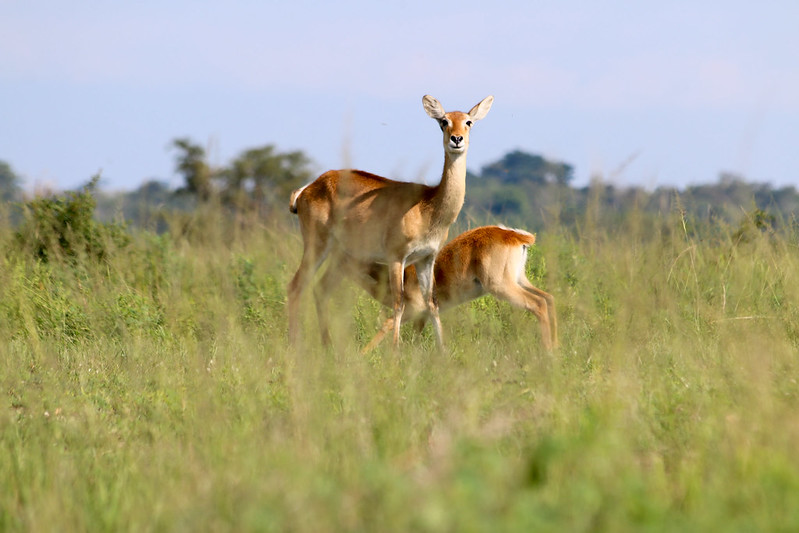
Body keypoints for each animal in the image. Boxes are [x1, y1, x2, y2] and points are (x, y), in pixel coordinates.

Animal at [284, 94, 490, 350]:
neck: (428, 206)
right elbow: (398, 303)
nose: (457, 139)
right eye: (443, 121)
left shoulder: (426, 258)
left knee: (320, 290)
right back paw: (295, 347)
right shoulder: (396, 258)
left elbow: (432, 303)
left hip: (340, 254)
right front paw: (395, 353)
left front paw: (443, 352)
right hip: (317, 245)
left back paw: (328, 347)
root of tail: (307, 189)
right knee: (295, 286)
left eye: (468, 121)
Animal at [356, 225, 556, 354]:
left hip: (502, 287)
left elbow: (387, 323)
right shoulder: (422, 316)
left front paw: (363, 354)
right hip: (520, 280)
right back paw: (556, 348)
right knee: (548, 298)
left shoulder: (414, 310)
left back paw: (548, 352)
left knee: (538, 303)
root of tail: (514, 236)